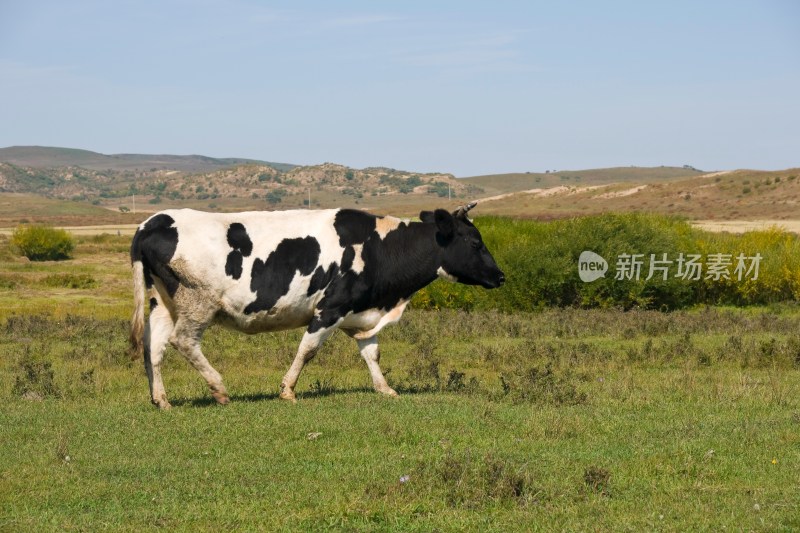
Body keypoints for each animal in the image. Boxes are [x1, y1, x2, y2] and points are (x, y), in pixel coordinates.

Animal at [131, 203, 506, 408]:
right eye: (476, 242)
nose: (500, 276)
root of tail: (153, 221)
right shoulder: (330, 309)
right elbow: (308, 349)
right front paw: (287, 390)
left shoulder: (359, 312)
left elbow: (372, 353)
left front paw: (385, 388)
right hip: (197, 302)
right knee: (183, 341)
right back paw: (219, 389)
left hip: (162, 303)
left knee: (154, 348)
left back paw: (160, 399)